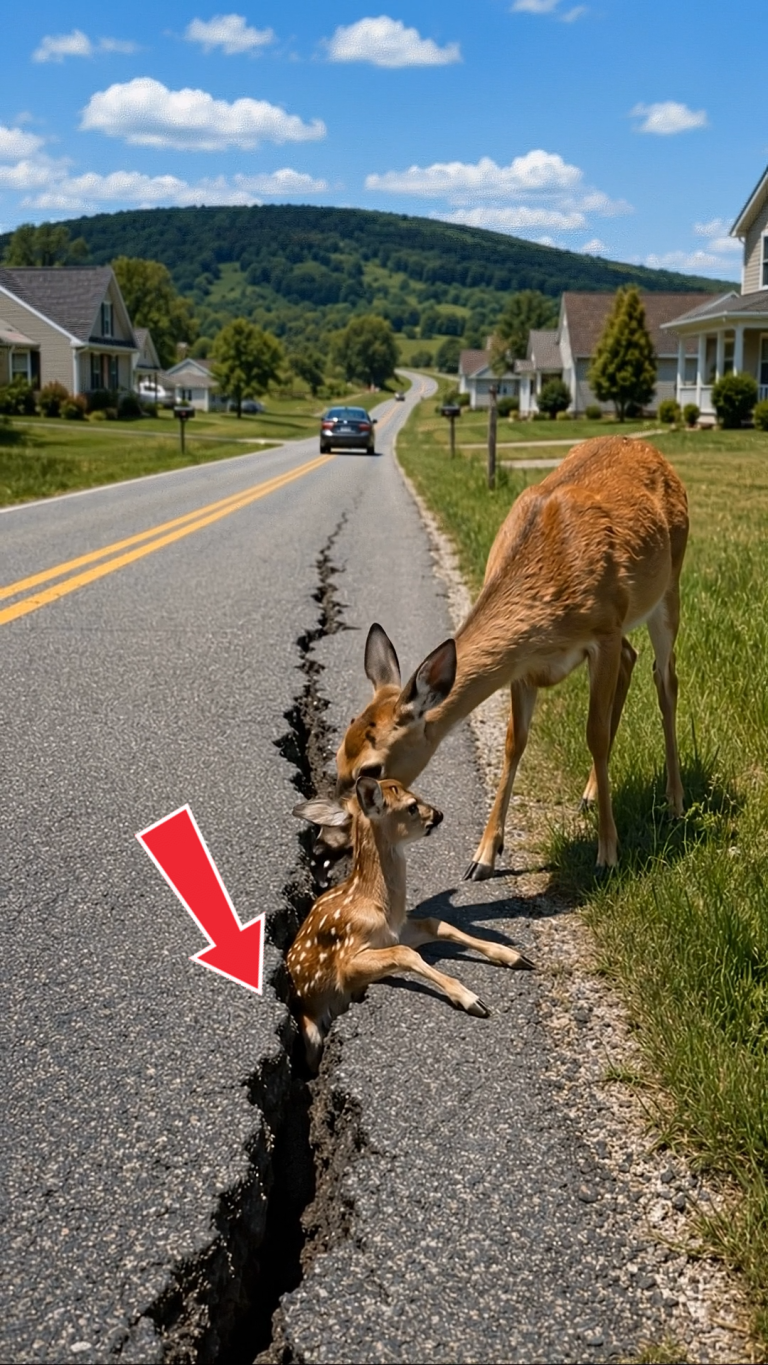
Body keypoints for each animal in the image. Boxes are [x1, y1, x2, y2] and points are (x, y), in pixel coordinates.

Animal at [287, 775, 531, 1070]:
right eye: (412, 806)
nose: (439, 814)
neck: (377, 904)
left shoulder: (397, 931)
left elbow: (436, 923)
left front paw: (512, 955)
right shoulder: (347, 960)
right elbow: (405, 953)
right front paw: (470, 998)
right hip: (311, 1026)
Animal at [325, 436, 688, 878]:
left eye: (371, 769)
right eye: (338, 757)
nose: (335, 837)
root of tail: (651, 449)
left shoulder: (603, 631)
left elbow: (595, 735)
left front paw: (608, 852)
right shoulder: (522, 664)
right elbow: (514, 741)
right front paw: (483, 855)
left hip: (668, 585)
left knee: (665, 679)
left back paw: (674, 801)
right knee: (632, 659)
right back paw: (588, 794)